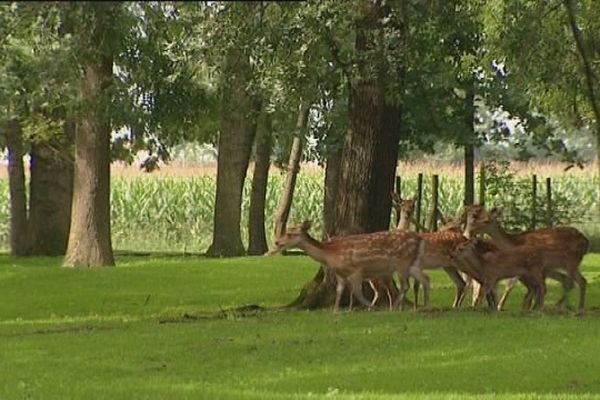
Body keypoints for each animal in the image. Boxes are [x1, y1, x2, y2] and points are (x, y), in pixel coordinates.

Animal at [266, 222, 426, 312]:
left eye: (290, 233)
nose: (277, 242)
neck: (330, 254)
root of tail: (418, 238)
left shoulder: (356, 270)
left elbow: (357, 293)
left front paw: (370, 307)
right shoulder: (341, 274)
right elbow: (339, 291)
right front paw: (336, 311)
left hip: (401, 262)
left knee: (404, 286)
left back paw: (397, 307)